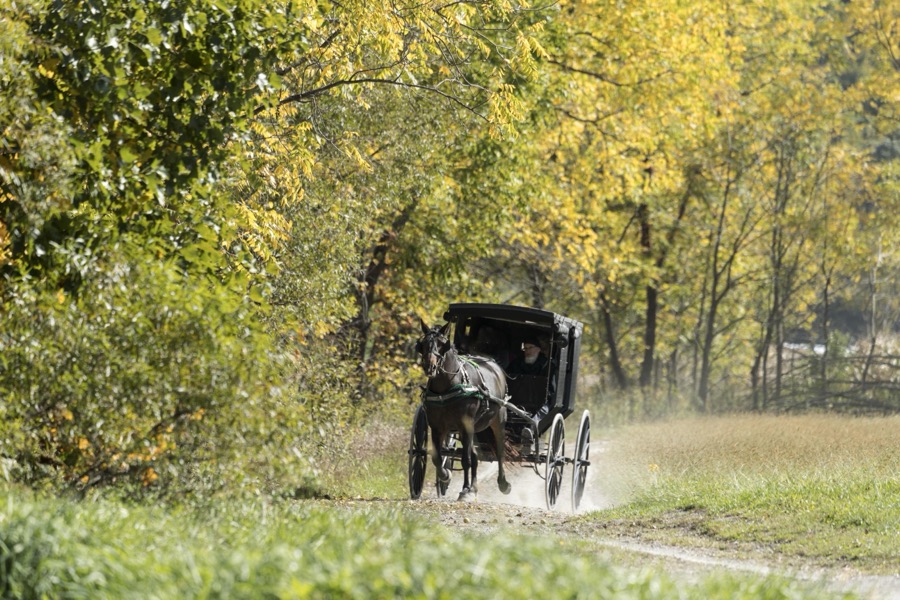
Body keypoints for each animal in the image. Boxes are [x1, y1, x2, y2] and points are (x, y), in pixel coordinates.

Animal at [416, 319, 512, 501]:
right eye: (422, 344)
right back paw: (474, 488)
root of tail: (493, 363)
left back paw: (502, 484)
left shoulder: (465, 425)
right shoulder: (438, 427)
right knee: (474, 455)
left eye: (442, 344)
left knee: (499, 451)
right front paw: (446, 476)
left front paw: (465, 489)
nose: (430, 366)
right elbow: (437, 457)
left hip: (497, 420)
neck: (447, 388)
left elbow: (465, 459)